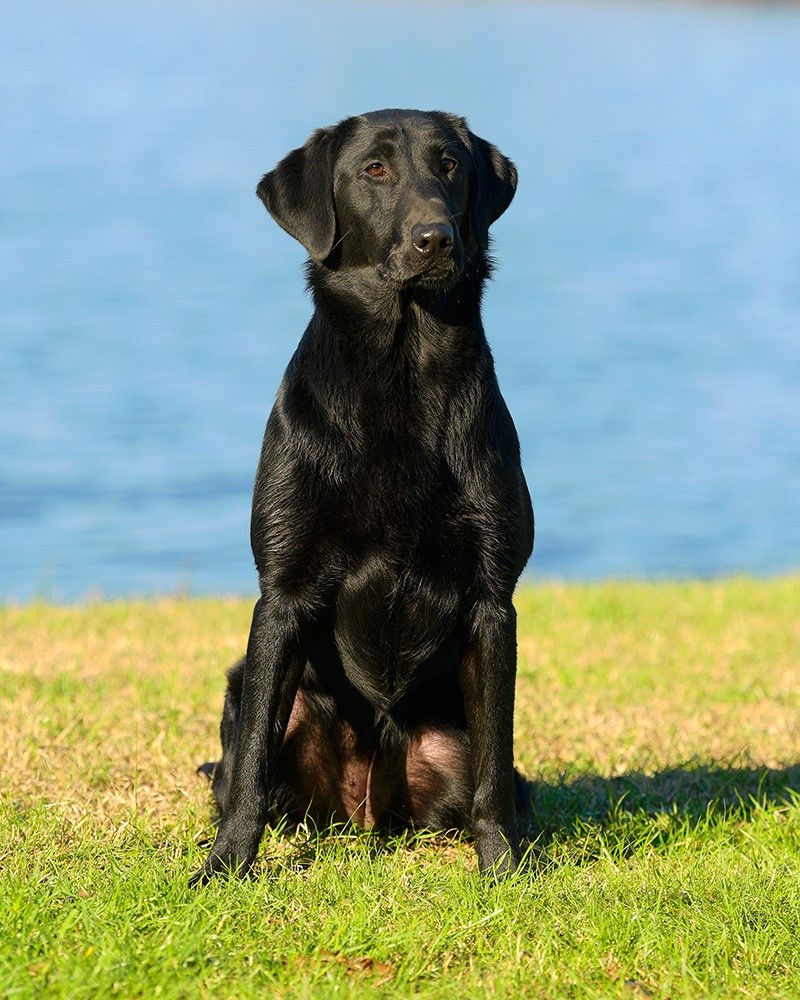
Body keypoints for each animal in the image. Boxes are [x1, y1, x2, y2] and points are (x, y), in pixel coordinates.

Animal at [191, 109, 536, 888]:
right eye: (374, 170)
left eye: (449, 165)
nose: (436, 237)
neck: (403, 370)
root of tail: (366, 810)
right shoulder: (283, 591)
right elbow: (251, 765)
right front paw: (226, 868)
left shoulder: (493, 599)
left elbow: (495, 772)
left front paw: (502, 871)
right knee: (240, 766)